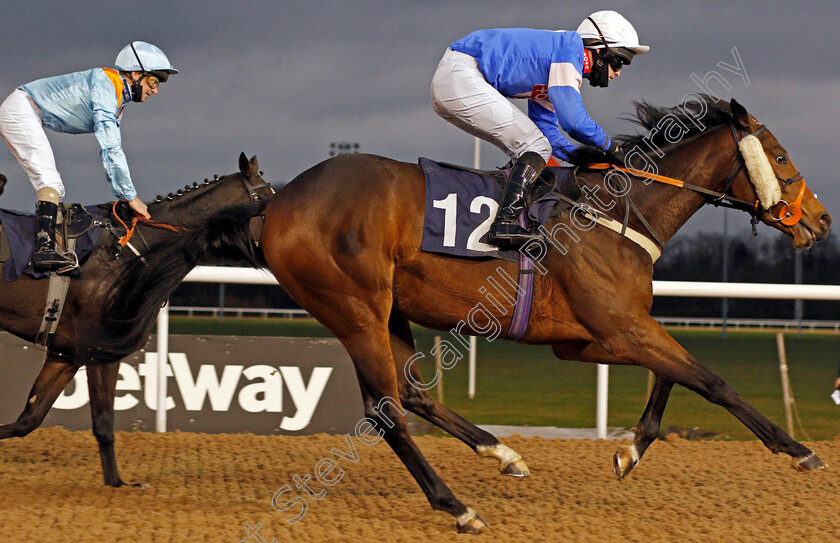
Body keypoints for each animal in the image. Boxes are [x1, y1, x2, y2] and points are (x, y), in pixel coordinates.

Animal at [0, 154, 270, 488]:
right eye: (269, 198)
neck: (126, 255)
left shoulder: (66, 354)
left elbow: (29, 419)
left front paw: (117, 482)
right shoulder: (99, 351)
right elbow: (103, 421)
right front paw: (117, 484)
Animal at [113, 96, 832, 532]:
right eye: (782, 157)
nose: (821, 222)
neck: (615, 213)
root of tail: (277, 204)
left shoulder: (600, 334)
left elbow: (672, 375)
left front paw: (629, 450)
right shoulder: (617, 327)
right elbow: (710, 379)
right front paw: (799, 451)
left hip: (388, 309)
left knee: (412, 395)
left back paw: (501, 452)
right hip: (354, 305)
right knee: (386, 408)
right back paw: (457, 505)